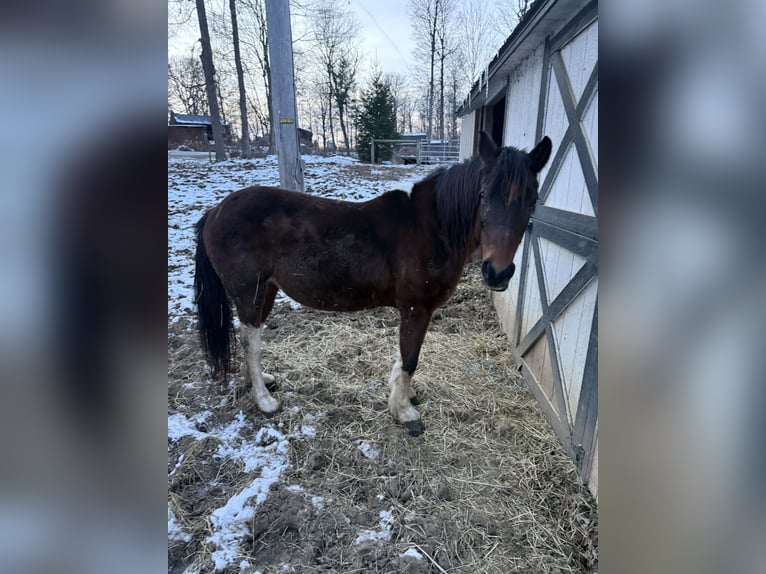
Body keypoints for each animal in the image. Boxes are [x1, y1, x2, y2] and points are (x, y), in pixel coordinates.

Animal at [194, 131, 551, 436]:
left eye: (532, 200)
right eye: (483, 195)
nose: (497, 273)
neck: (432, 229)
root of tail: (216, 210)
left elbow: (405, 358)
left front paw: (406, 396)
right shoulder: (416, 310)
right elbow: (410, 358)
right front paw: (404, 411)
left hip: (266, 290)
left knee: (250, 338)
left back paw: (262, 381)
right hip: (249, 292)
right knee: (249, 342)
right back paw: (265, 401)